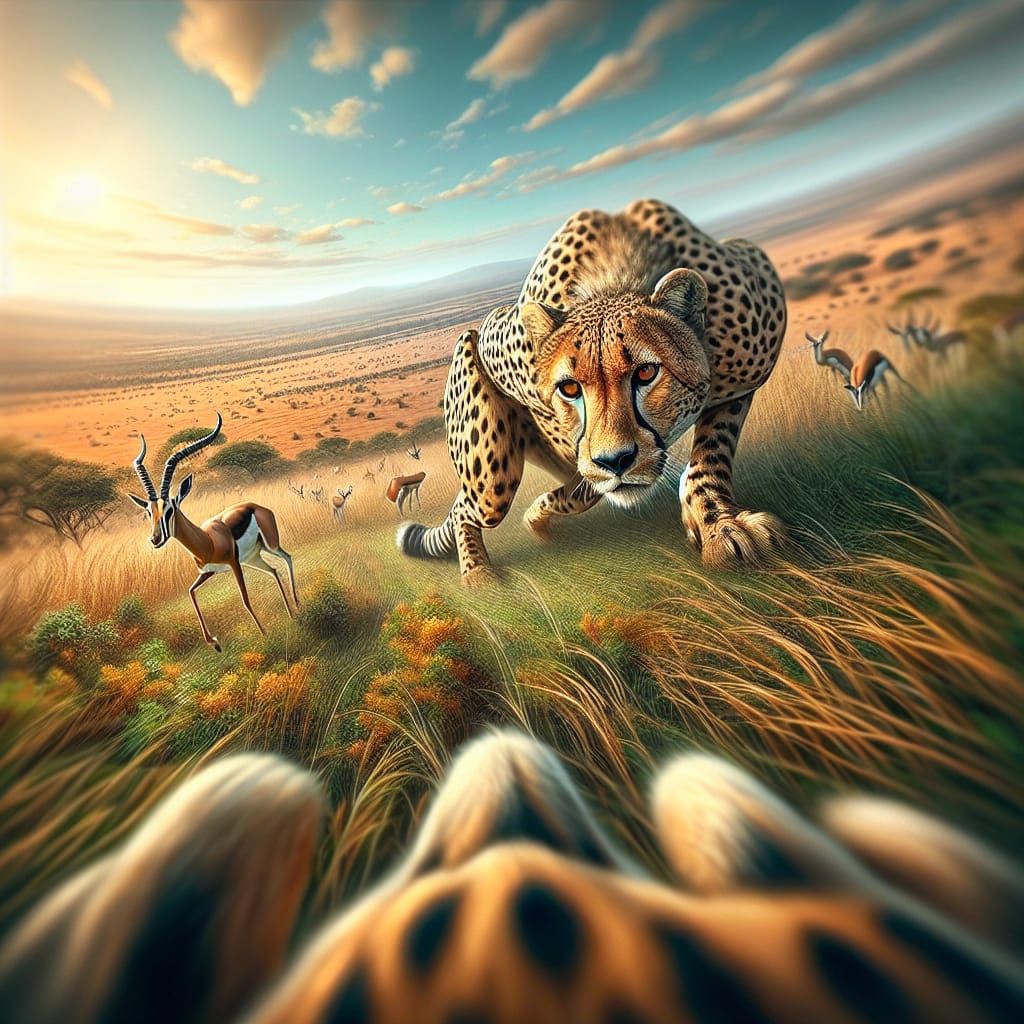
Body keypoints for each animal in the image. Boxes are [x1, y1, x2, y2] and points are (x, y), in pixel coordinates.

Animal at [129, 415, 298, 652]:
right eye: (148, 512)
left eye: (169, 509)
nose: (155, 539)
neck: (208, 542)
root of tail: (256, 506)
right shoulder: (208, 572)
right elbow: (190, 592)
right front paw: (215, 643)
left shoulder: (234, 563)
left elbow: (245, 599)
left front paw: (265, 635)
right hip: (253, 558)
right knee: (273, 570)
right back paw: (291, 614)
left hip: (269, 545)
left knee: (287, 557)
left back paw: (298, 607)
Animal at [397, 198, 789, 582]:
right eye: (570, 387)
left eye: (646, 372)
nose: (614, 461)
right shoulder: (494, 335)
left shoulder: (744, 375)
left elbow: (710, 452)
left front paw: (719, 523)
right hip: (492, 482)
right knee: (470, 507)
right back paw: (480, 574)